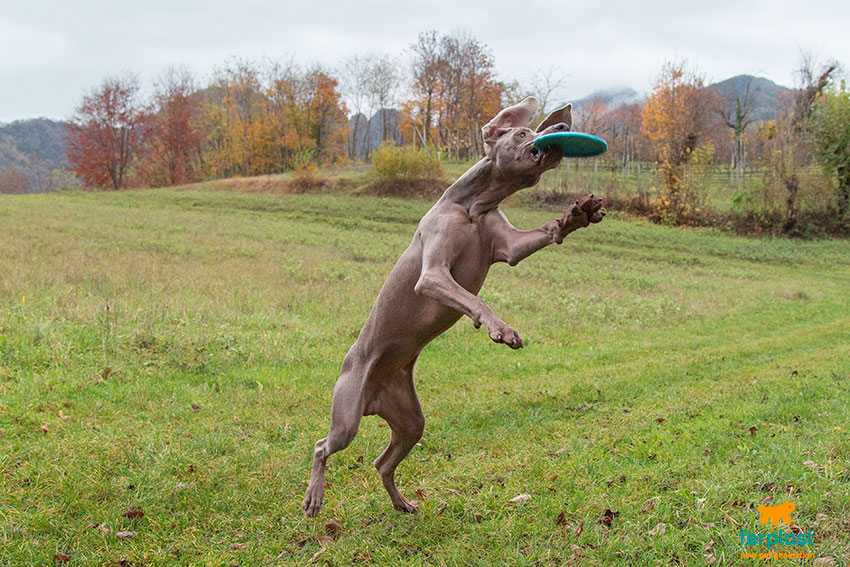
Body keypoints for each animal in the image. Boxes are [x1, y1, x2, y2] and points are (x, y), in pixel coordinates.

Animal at [304, 97, 604, 520]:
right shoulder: (431, 275)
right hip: (346, 416)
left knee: (382, 463)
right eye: (523, 133)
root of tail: (372, 398)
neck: (473, 206)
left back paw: (402, 503)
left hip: (411, 420)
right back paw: (314, 496)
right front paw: (500, 329)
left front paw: (577, 216)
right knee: (322, 447)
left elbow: (543, 234)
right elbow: (474, 299)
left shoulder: (508, 247)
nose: (561, 128)